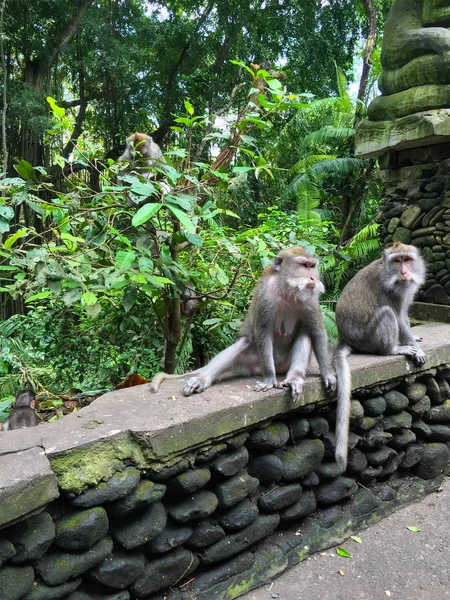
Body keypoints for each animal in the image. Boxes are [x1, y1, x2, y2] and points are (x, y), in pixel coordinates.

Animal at [149, 246, 336, 400]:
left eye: (312, 266)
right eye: (304, 265)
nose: (312, 278)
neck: (288, 291)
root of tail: (280, 368)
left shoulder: (311, 300)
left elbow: (317, 332)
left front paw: (327, 373)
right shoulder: (265, 297)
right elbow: (263, 332)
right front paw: (269, 378)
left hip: (285, 363)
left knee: (305, 332)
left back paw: (294, 378)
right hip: (252, 362)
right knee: (243, 343)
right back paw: (202, 380)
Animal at [334, 241, 426, 472]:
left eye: (407, 259)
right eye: (397, 260)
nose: (404, 272)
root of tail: (345, 337)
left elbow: (405, 316)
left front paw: (414, 337)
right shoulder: (390, 290)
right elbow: (398, 317)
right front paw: (413, 346)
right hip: (367, 338)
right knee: (387, 313)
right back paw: (393, 349)